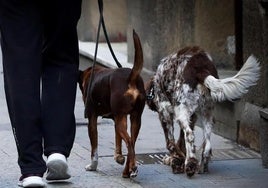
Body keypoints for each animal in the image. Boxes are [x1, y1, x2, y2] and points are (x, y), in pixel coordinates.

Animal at [77, 30, 146, 178]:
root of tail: (131, 77)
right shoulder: (116, 118)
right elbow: (118, 141)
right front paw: (118, 157)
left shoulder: (92, 119)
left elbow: (94, 149)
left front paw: (92, 166)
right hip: (135, 118)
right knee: (132, 143)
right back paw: (127, 171)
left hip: (122, 118)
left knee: (130, 142)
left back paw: (131, 168)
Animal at [146, 46, 260, 177]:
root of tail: (200, 68)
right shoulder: (192, 116)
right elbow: (180, 141)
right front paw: (178, 160)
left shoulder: (165, 114)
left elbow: (171, 143)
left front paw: (175, 161)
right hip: (207, 113)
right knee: (207, 144)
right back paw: (201, 167)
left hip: (182, 112)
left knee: (190, 135)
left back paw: (190, 164)